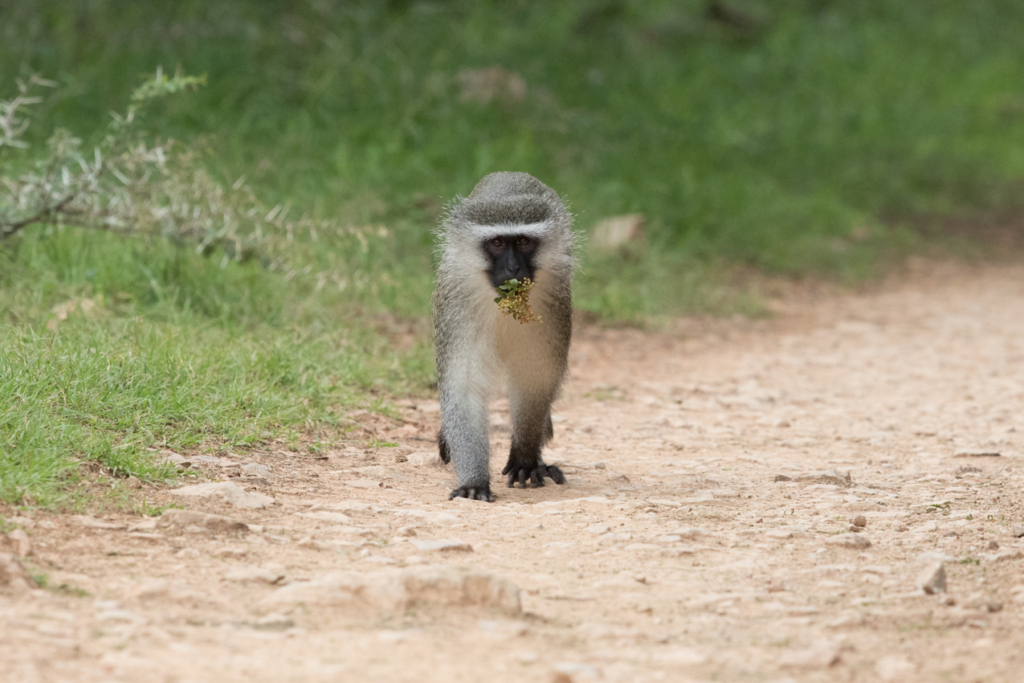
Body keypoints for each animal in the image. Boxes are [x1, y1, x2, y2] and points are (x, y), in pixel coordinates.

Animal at [432, 171, 577, 501]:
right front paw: (474, 480)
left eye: (523, 242)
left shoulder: (553, 300)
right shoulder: (457, 301)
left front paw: (525, 457)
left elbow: (535, 378)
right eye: (497, 243)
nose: (512, 268)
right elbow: (464, 384)